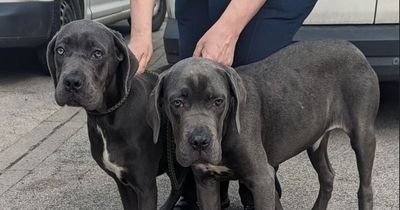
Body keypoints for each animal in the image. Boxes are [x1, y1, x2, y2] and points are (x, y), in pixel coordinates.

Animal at [148, 41, 380, 210]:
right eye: (177, 103)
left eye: (218, 101)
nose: (199, 141)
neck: (226, 130)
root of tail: (355, 49)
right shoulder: (206, 182)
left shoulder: (262, 180)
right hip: (314, 140)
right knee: (327, 177)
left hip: (363, 136)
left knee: (365, 188)